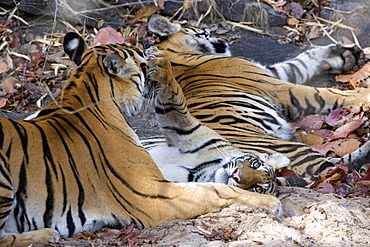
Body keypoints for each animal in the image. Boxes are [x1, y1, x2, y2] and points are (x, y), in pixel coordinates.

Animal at [0, 31, 280, 246]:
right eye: (142, 63)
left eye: (257, 181)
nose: (148, 51)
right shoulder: (153, 190)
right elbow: (217, 188)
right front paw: (271, 202)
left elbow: (217, 188)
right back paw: (45, 234)